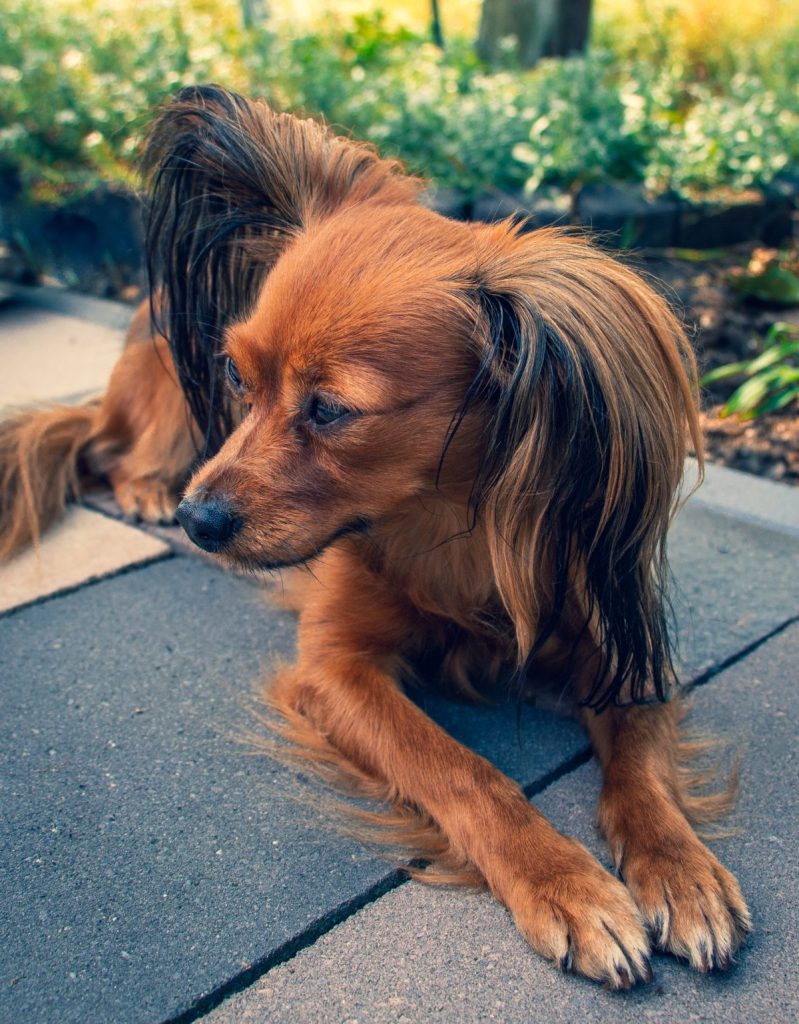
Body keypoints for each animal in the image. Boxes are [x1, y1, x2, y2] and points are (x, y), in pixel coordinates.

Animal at [0, 86, 749, 983]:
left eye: (330, 409)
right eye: (236, 377)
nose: (198, 520)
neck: (445, 525)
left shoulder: (619, 644)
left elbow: (641, 763)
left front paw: (680, 869)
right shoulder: (335, 672)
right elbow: (461, 770)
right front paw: (565, 883)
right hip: (165, 408)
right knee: (106, 448)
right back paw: (145, 488)